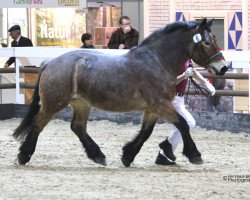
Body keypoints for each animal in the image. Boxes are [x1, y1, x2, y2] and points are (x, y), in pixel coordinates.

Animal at [13, 18, 229, 166]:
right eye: (207, 42)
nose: (223, 67)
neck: (157, 61)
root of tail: (50, 62)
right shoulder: (160, 105)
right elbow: (183, 125)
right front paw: (194, 155)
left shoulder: (153, 108)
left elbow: (146, 132)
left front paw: (128, 155)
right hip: (53, 103)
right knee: (38, 124)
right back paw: (24, 155)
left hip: (81, 104)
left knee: (78, 127)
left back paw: (98, 155)